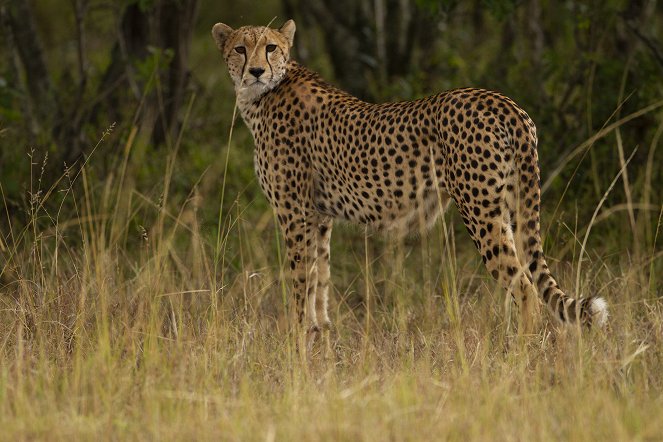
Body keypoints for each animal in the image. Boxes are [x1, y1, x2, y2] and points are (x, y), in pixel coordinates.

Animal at [211, 19, 608, 340]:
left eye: (271, 47)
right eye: (240, 48)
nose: (256, 71)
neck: (262, 96)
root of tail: (502, 100)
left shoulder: (294, 214)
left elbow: (300, 282)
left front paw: (296, 345)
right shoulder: (319, 217)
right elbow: (319, 280)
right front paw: (319, 336)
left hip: (481, 212)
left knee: (525, 288)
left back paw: (518, 356)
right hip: (511, 205)